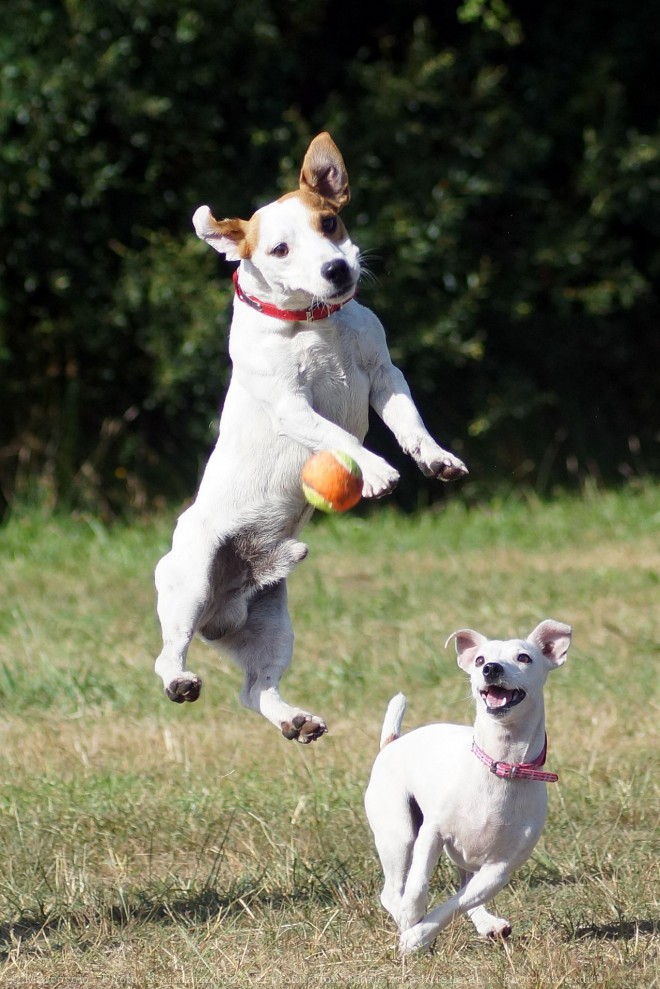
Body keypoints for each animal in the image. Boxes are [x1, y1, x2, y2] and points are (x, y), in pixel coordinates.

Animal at [153, 135, 466, 740]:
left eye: (330, 221)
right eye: (278, 249)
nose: (337, 268)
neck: (315, 322)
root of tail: (219, 612)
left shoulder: (383, 375)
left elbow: (408, 423)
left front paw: (434, 458)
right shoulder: (290, 404)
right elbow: (336, 436)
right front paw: (376, 470)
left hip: (270, 623)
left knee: (256, 690)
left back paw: (294, 720)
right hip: (191, 581)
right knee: (167, 654)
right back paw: (179, 680)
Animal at [364, 616, 568, 948]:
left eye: (524, 657)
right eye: (480, 660)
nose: (492, 669)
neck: (500, 765)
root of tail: (391, 743)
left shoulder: (498, 870)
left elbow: (455, 904)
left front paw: (419, 936)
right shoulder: (432, 834)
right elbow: (418, 883)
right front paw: (412, 915)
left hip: (464, 860)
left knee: (463, 890)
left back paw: (487, 923)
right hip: (399, 833)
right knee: (392, 891)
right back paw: (403, 912)